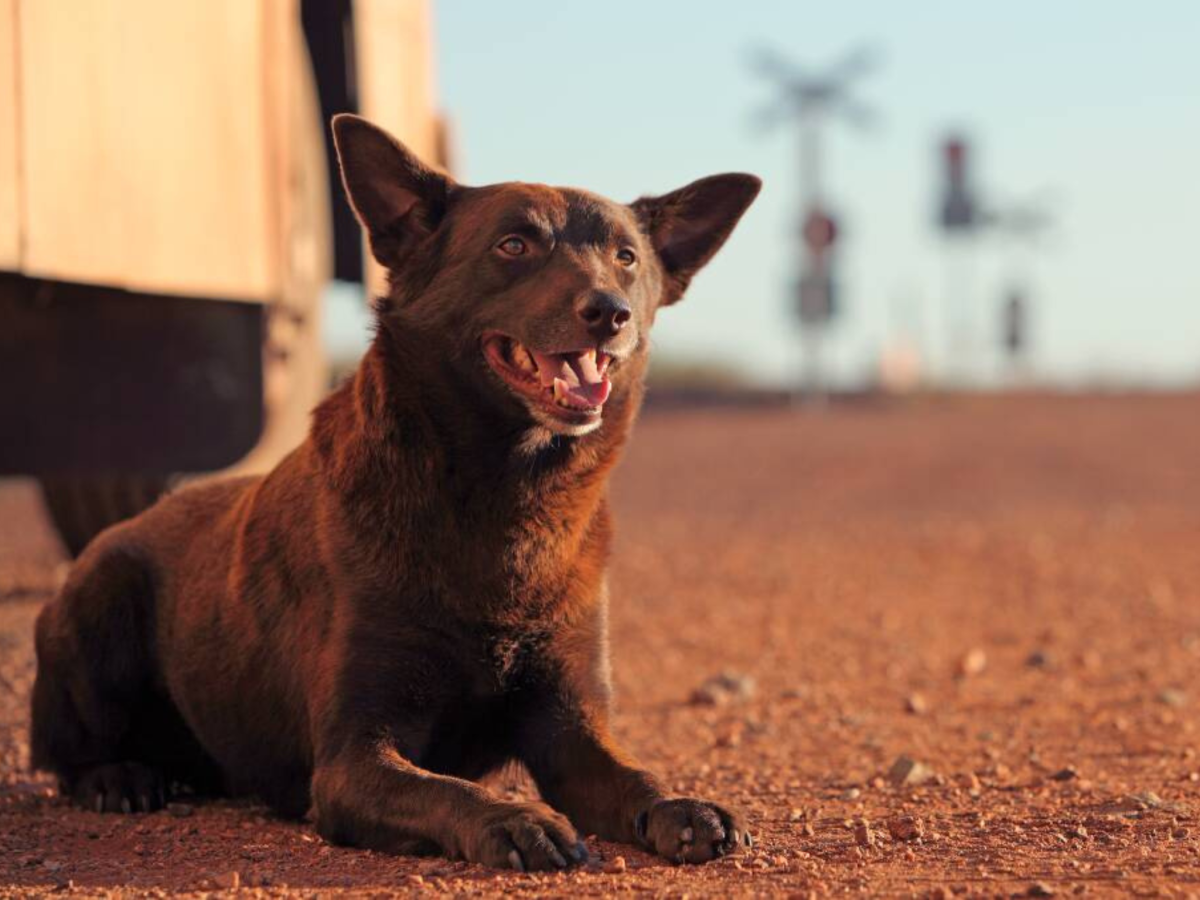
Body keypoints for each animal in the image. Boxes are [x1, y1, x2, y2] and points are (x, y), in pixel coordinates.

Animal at [32, 112, 763, 873]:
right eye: (513, 245)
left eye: (625, 258)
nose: (611, 312)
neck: (507, 500)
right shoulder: (351, 760)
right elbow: (446, 791)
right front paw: (514, 818)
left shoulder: (571, 735)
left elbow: (634, 776)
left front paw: (684, 805)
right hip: (99, 600)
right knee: (64, 753)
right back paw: (119, 777)